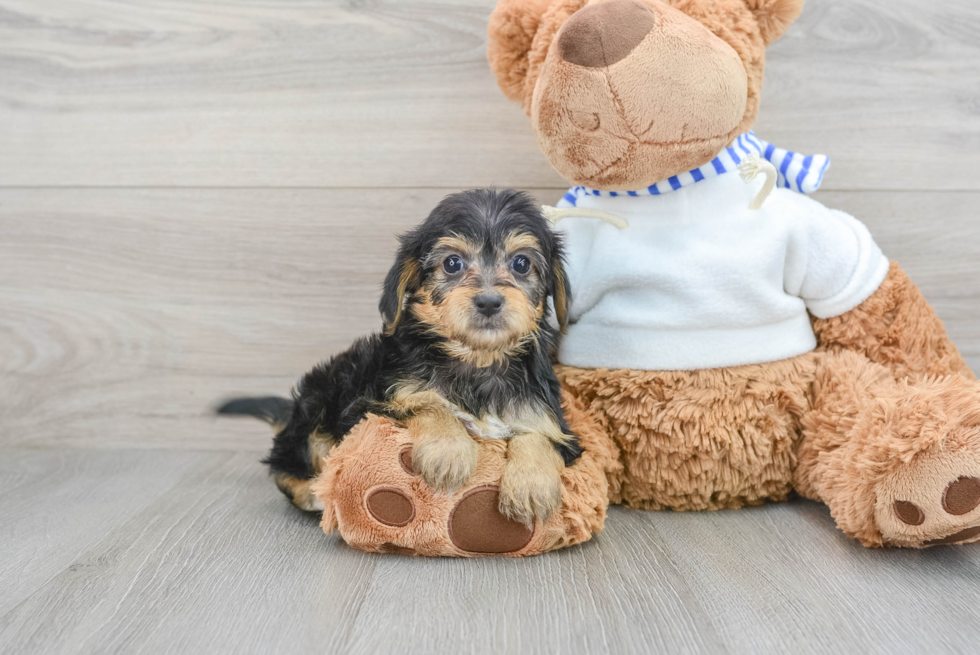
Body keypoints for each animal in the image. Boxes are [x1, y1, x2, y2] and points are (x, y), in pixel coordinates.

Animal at [218, 190, 580, 528]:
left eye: (521, 264)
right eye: (452, 264)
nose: (489, 302)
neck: (476, 360)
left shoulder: (549, 416)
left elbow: (540, 435)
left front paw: (531, 486)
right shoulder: (374, 403)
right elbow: (429, 405)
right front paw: (450, 451)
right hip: (320, 399)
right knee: (289, 463)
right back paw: (313, 492)